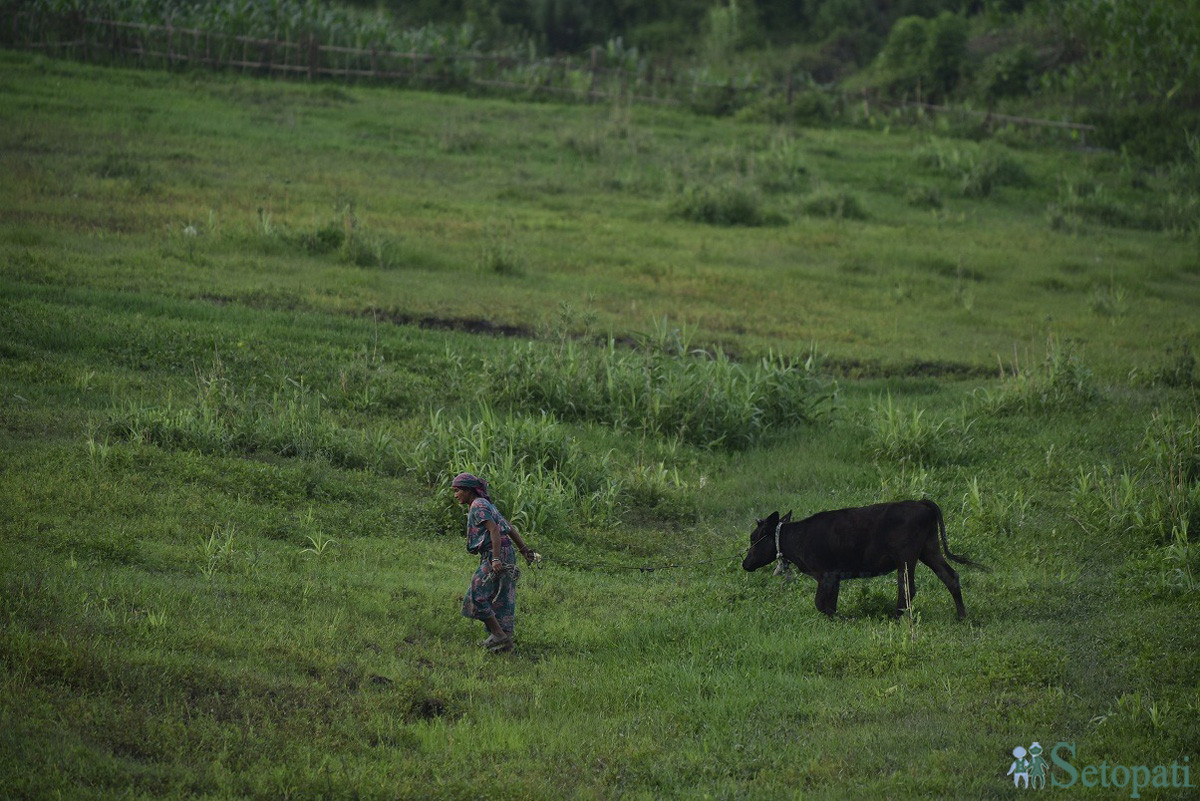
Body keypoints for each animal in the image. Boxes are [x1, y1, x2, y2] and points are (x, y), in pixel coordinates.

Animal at [739, 501, 984, 618]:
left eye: (754, 538)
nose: (745, 563)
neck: (796, 538)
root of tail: (921, 502)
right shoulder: (834, 578)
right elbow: (829, 604)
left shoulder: (827, 574)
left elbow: (821, 604)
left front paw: (847, 620)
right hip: (929, 549)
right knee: (950, 576)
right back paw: (962, 616)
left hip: (906, 558)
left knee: (908, 588)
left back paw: (895, 617)